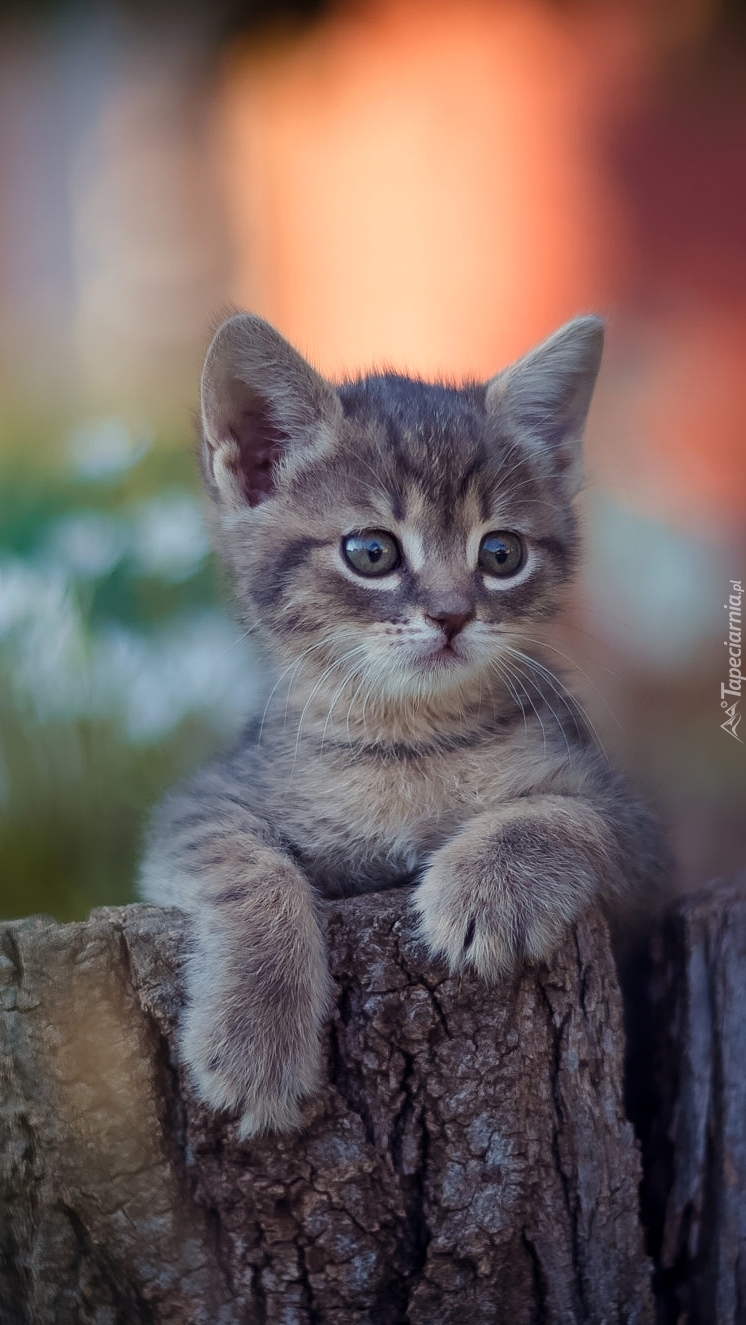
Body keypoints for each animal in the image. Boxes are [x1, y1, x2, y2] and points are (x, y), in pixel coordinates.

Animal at [138, 312, 665, 1139]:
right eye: (371, 551)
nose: (451, 614)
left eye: (501, 552)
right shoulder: (200, 802)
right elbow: (248, 864)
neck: (407, 739)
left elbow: (573, 813)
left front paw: (491, 884)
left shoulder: (639, 844)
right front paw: (256, 1030)